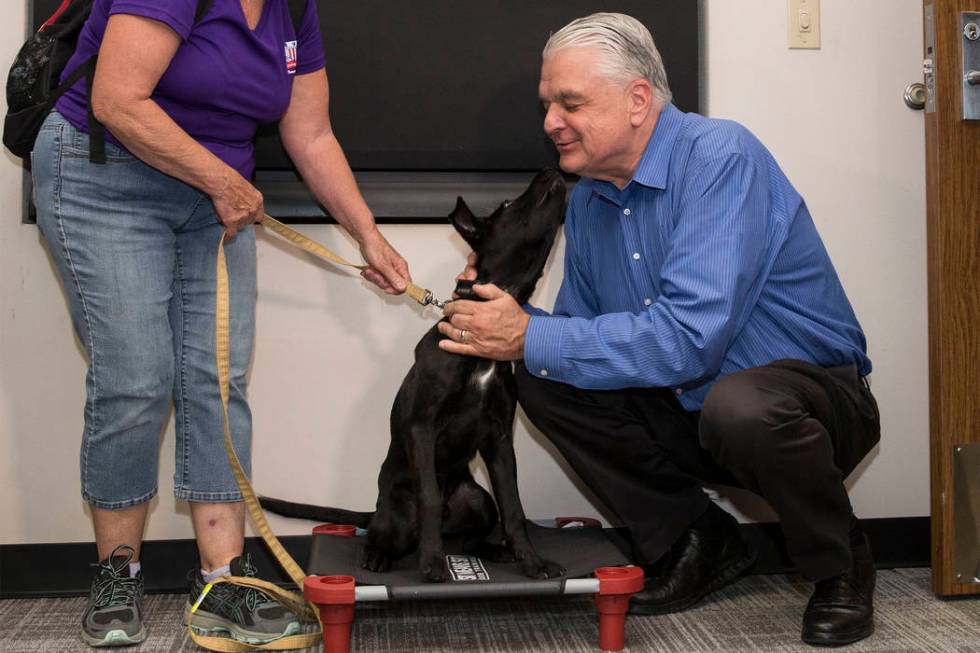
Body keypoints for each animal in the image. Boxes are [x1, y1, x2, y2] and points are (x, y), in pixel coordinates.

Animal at [262, 168, 568, 580]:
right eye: (506, 204)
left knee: (470, 536)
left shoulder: (501, 439)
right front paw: (432, 563)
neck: (477, 347)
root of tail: (375, 510)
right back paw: (378, 556)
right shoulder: (423, 427)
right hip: (397, 516)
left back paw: (493, 550)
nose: (552, 170)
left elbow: (514, 508)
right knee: (384, 533)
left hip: (479, 501)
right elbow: (429, 498)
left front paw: (532, 562)